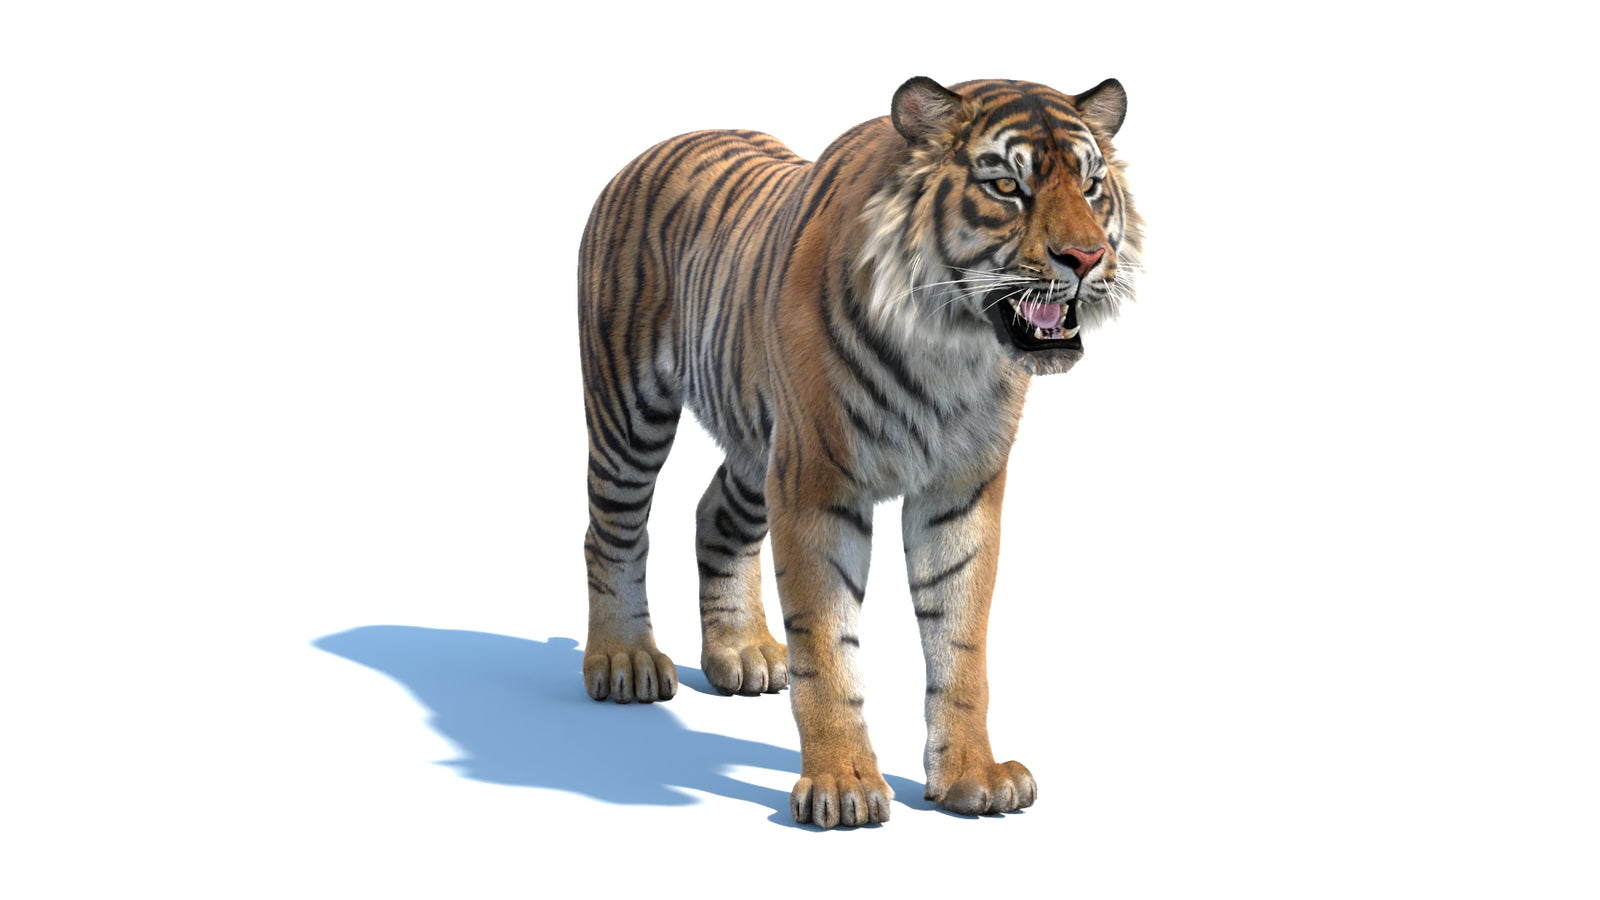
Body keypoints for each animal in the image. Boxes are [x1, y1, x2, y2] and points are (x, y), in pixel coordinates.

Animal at [578, 76, 1142, 828]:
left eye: (1091, 185)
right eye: (1006, 186)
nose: (1085, 259)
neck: (951, 346)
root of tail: (656, 147)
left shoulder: (959, 490)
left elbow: (960, 643)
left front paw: (973, 777)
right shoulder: (817, 483)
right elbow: (827, 646)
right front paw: (842, 785)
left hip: (760, 445)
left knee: (713, 517)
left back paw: (742, 652)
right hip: (631, 410)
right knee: (611, 530)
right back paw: (624, 660)